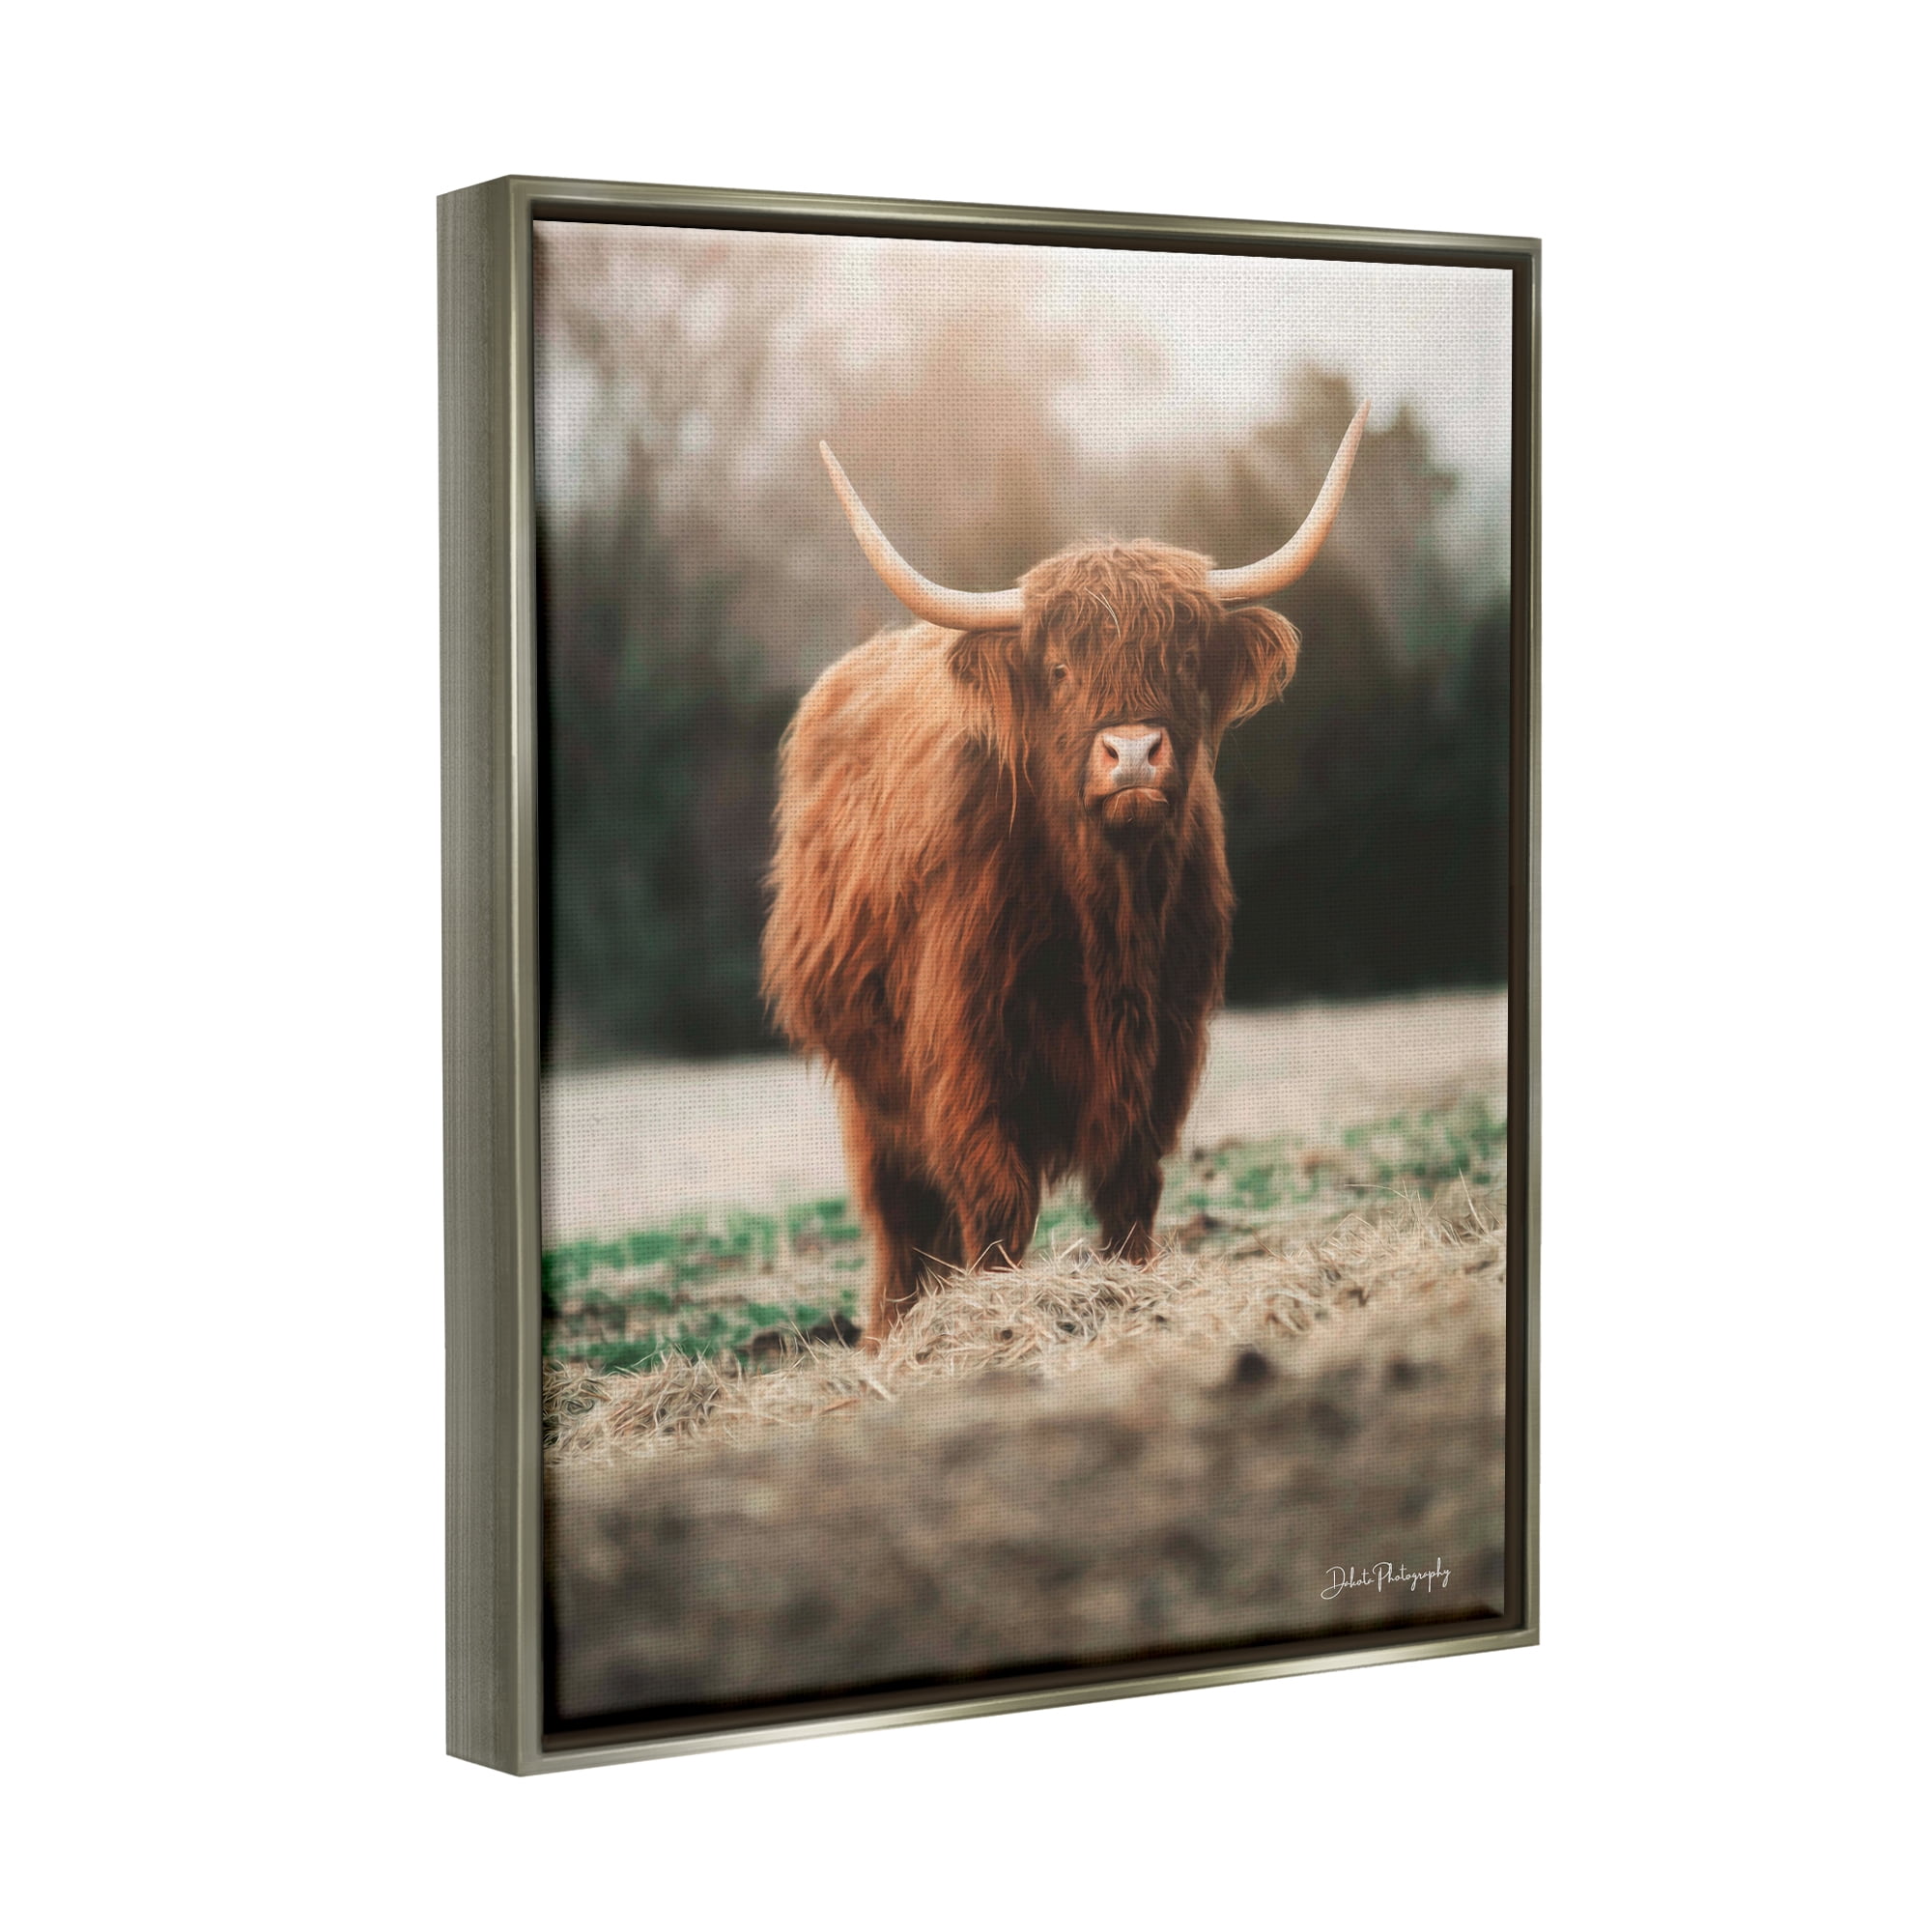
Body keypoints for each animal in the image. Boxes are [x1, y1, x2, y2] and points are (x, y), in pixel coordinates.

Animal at [761, 404, 1370, 1349]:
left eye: (1185, 660)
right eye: (1058, 670)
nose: (1133, 753)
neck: (1108, 911)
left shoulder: (1163, 1049)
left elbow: (1130, 1191)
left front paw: (1132, 1290)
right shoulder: (968, 1058)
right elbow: (994, 1202)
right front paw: (996, 1319)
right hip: (869, 1082)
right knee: (897, 1212)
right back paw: (892, 1335)